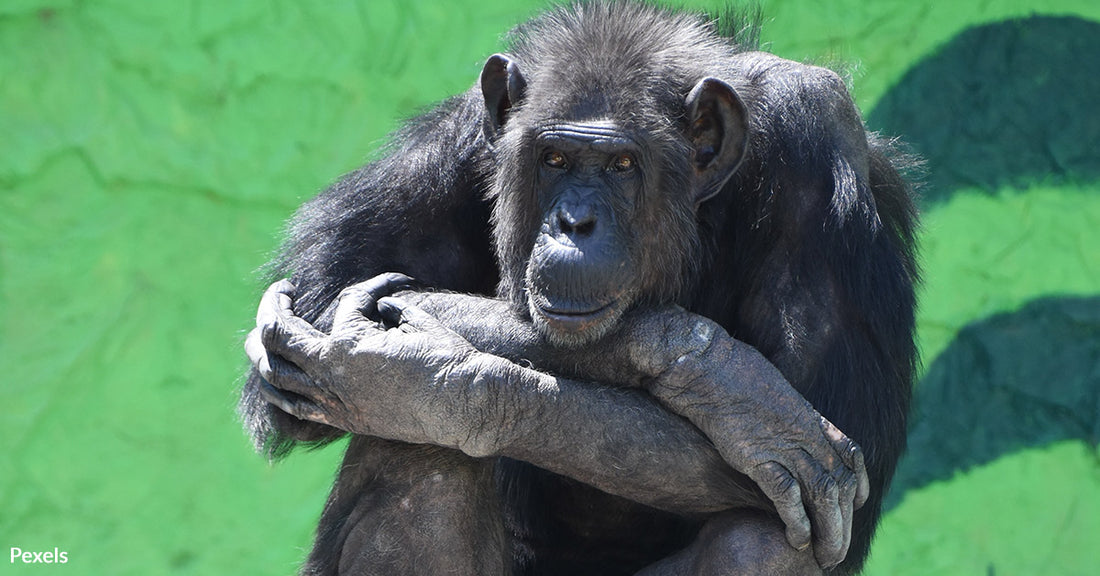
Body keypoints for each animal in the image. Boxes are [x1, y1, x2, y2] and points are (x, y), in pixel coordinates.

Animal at [243, 2, 919, 571]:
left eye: (621, 165)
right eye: (554, 160)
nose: (575, 222)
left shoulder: (818, 146)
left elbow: (838, 429)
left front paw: (416, 374)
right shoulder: (448, 149)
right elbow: (305, 327)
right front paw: (719, 378)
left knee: (765, 542)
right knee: (410, 449)